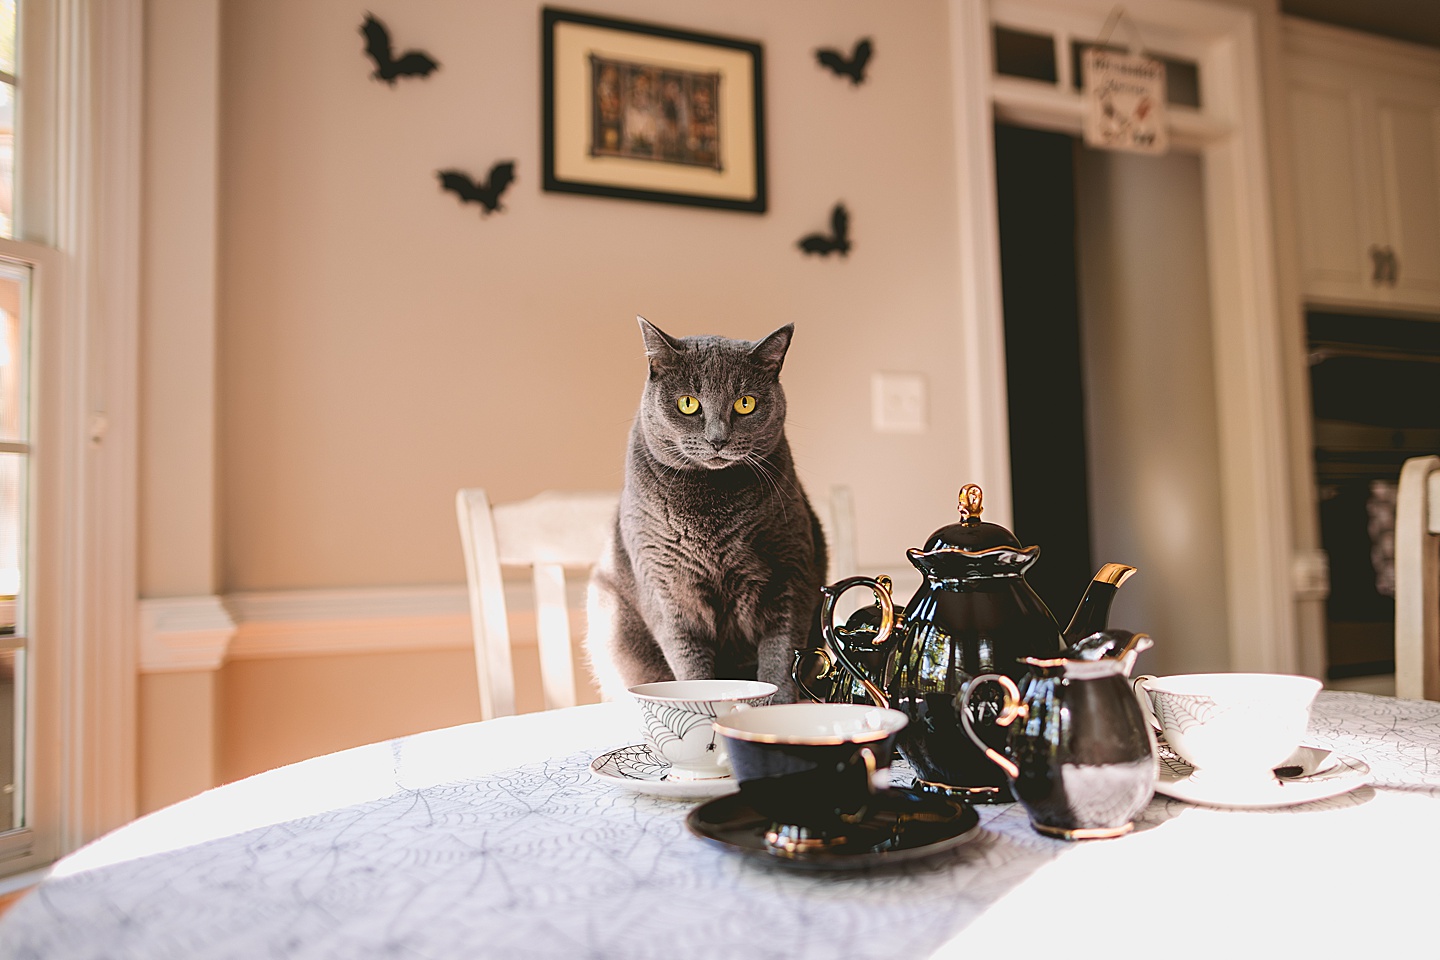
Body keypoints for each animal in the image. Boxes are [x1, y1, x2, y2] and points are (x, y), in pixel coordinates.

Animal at [584, 319, 829, 702]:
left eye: (745, 403)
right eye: (688, 403)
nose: (718, 439)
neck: (711, 504)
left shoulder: (790, 576)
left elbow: (780, 659)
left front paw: (778, 707)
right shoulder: (668, 590)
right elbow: (691, 668)